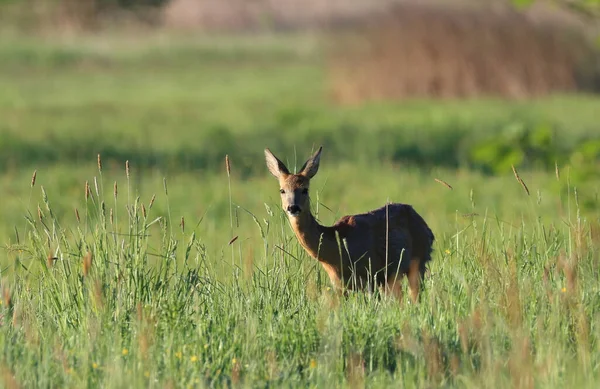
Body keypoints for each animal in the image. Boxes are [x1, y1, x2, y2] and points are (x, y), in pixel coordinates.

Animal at [264, 146, 434, 300]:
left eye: (305, 189)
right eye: (282, 190)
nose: (293, 207)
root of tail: (425, 226)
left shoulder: (370, 274)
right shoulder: (339, 285)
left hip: (418, 260)